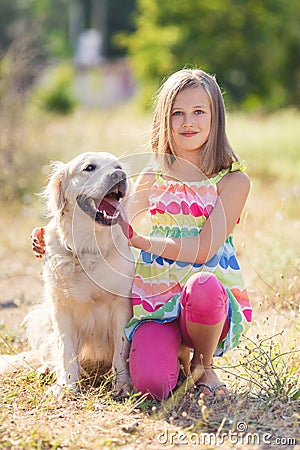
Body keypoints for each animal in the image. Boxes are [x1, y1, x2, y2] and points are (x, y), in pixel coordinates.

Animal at [0, 152, 134, 398]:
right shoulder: (60, 308)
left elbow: (121, 350)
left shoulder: (121, 305)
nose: (120, 176)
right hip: (42, 315)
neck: (88, 247)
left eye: (118, 166)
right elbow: (65, 350)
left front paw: (122, 385)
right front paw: (67, 386)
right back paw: (46, 369)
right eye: (89, 167)